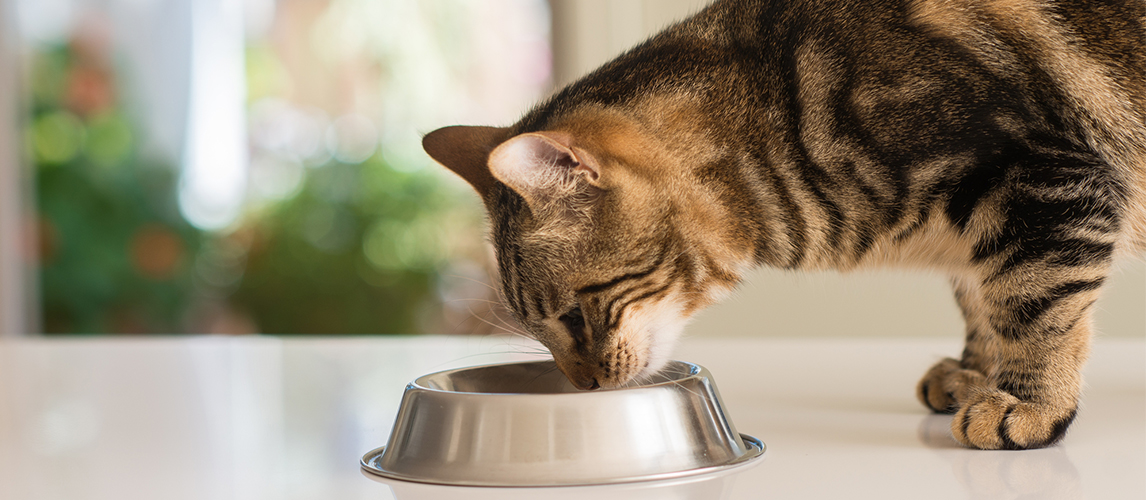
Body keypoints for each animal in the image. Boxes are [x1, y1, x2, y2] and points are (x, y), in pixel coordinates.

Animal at [421, 0, 1146, 454]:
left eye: (573, 315)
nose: (585, 388)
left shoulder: (1042, 179)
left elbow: (1032, 305)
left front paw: (1026, 403)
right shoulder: (992, 225)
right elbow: (979, 298)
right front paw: (974, 373)